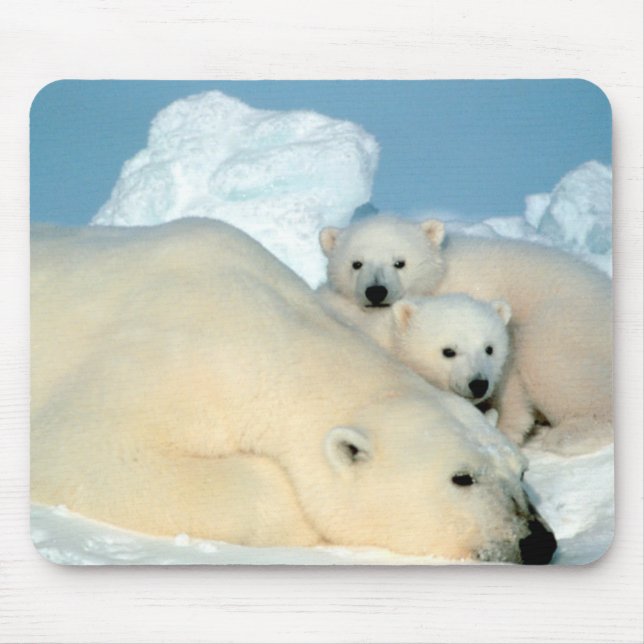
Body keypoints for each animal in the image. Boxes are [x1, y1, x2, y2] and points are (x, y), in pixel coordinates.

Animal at [319, 213, 612, 456]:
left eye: (399, 262)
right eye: (356, 263)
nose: (376, 291)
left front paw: (504, 427)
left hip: (565, 321)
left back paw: (570, 435)